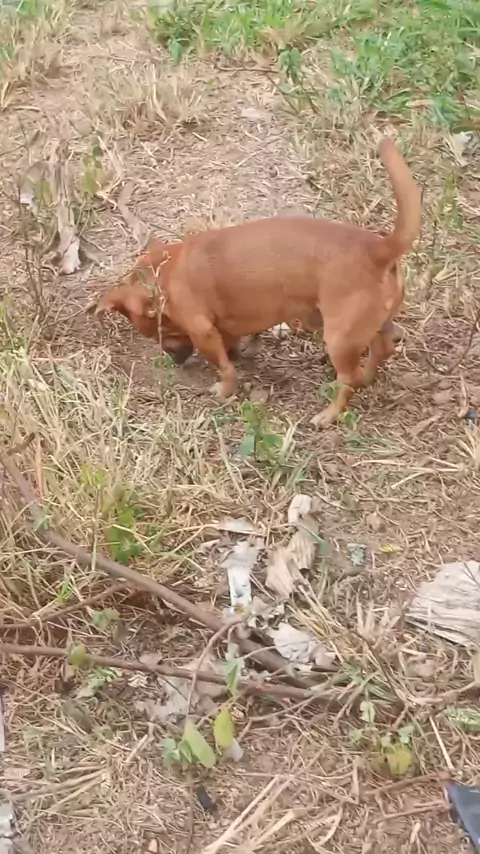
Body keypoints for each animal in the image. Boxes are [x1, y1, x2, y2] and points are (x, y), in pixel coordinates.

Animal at [90, 137, 421, 426]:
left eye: (164, 333)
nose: (175, 361)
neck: (164, 273)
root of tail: (379, 247)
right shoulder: (225, 326)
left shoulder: (202, 332)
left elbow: (224, 368)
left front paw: (224, 389)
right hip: (368, 325)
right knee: (382, 349)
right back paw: (366, 376)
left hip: (338, 338)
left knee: (347, 379)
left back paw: (330, 414)